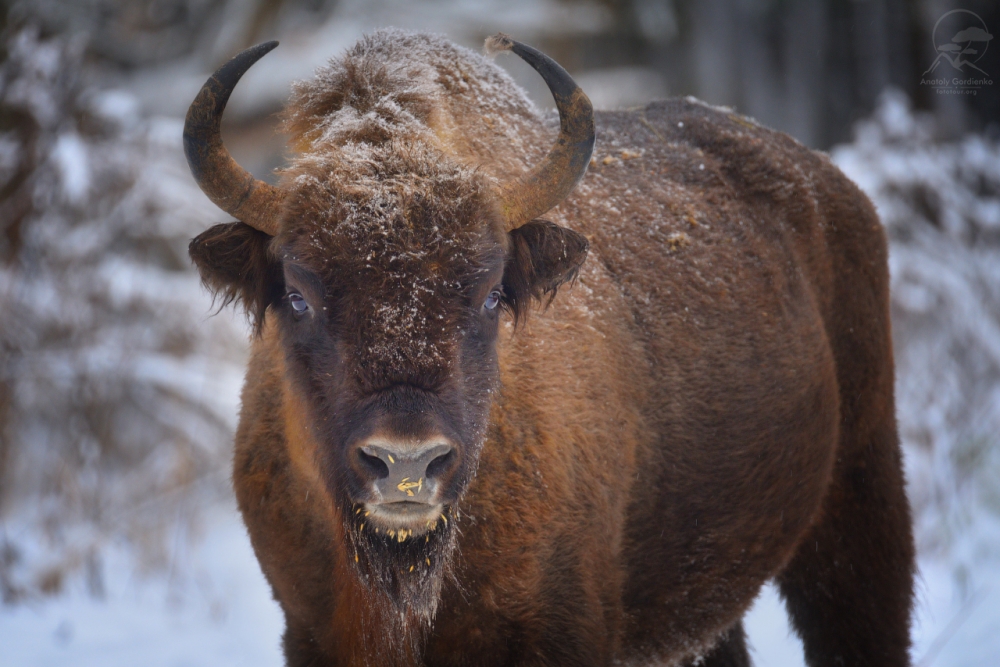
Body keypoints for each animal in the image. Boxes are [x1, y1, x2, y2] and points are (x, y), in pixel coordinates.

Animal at [180, 30, 916, 667]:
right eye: (297, 294)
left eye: (488, 294)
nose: (406, 464)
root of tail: (831, 188)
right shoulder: (309, 631)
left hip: (859, 502)